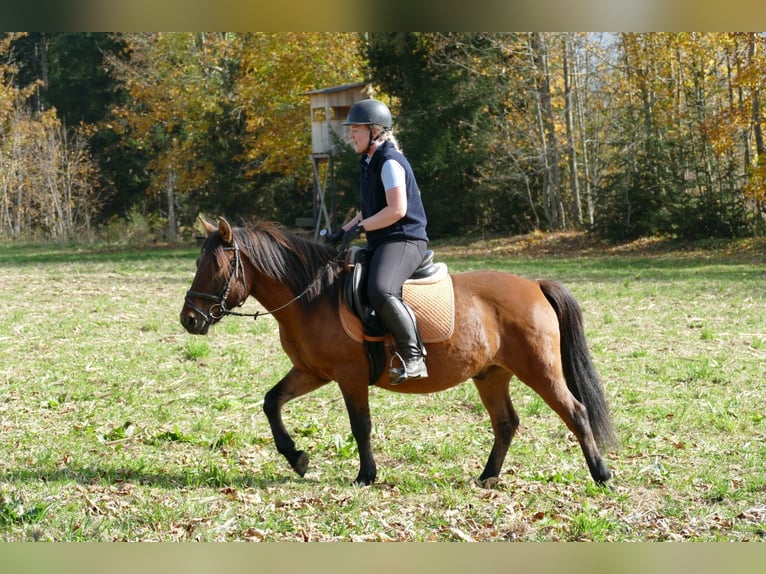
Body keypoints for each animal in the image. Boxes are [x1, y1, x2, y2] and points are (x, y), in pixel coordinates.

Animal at [180, 218, 616, 488]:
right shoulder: (311, 372)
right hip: (491, 374)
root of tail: (535, 285)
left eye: (215, 268)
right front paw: (297, 458)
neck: (313, 297)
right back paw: (487, 476)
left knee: (576, 412)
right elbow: (271, 402)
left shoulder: (349, 376)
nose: (189, 319)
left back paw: (602, 475)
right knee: (506, 423)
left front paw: (365, 475)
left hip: (540, 370)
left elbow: (361, 425)